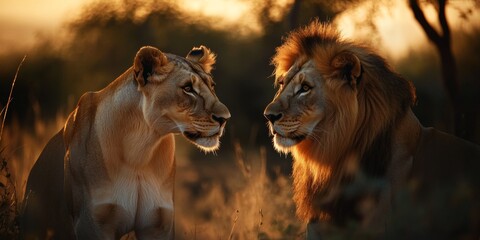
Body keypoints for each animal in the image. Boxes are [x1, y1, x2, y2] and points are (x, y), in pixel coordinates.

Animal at [19, 46, 229, 239]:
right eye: (187, 88)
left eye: (212, 86)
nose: (225, 118)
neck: (140, 150)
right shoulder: (93, 222)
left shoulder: (158, 223)